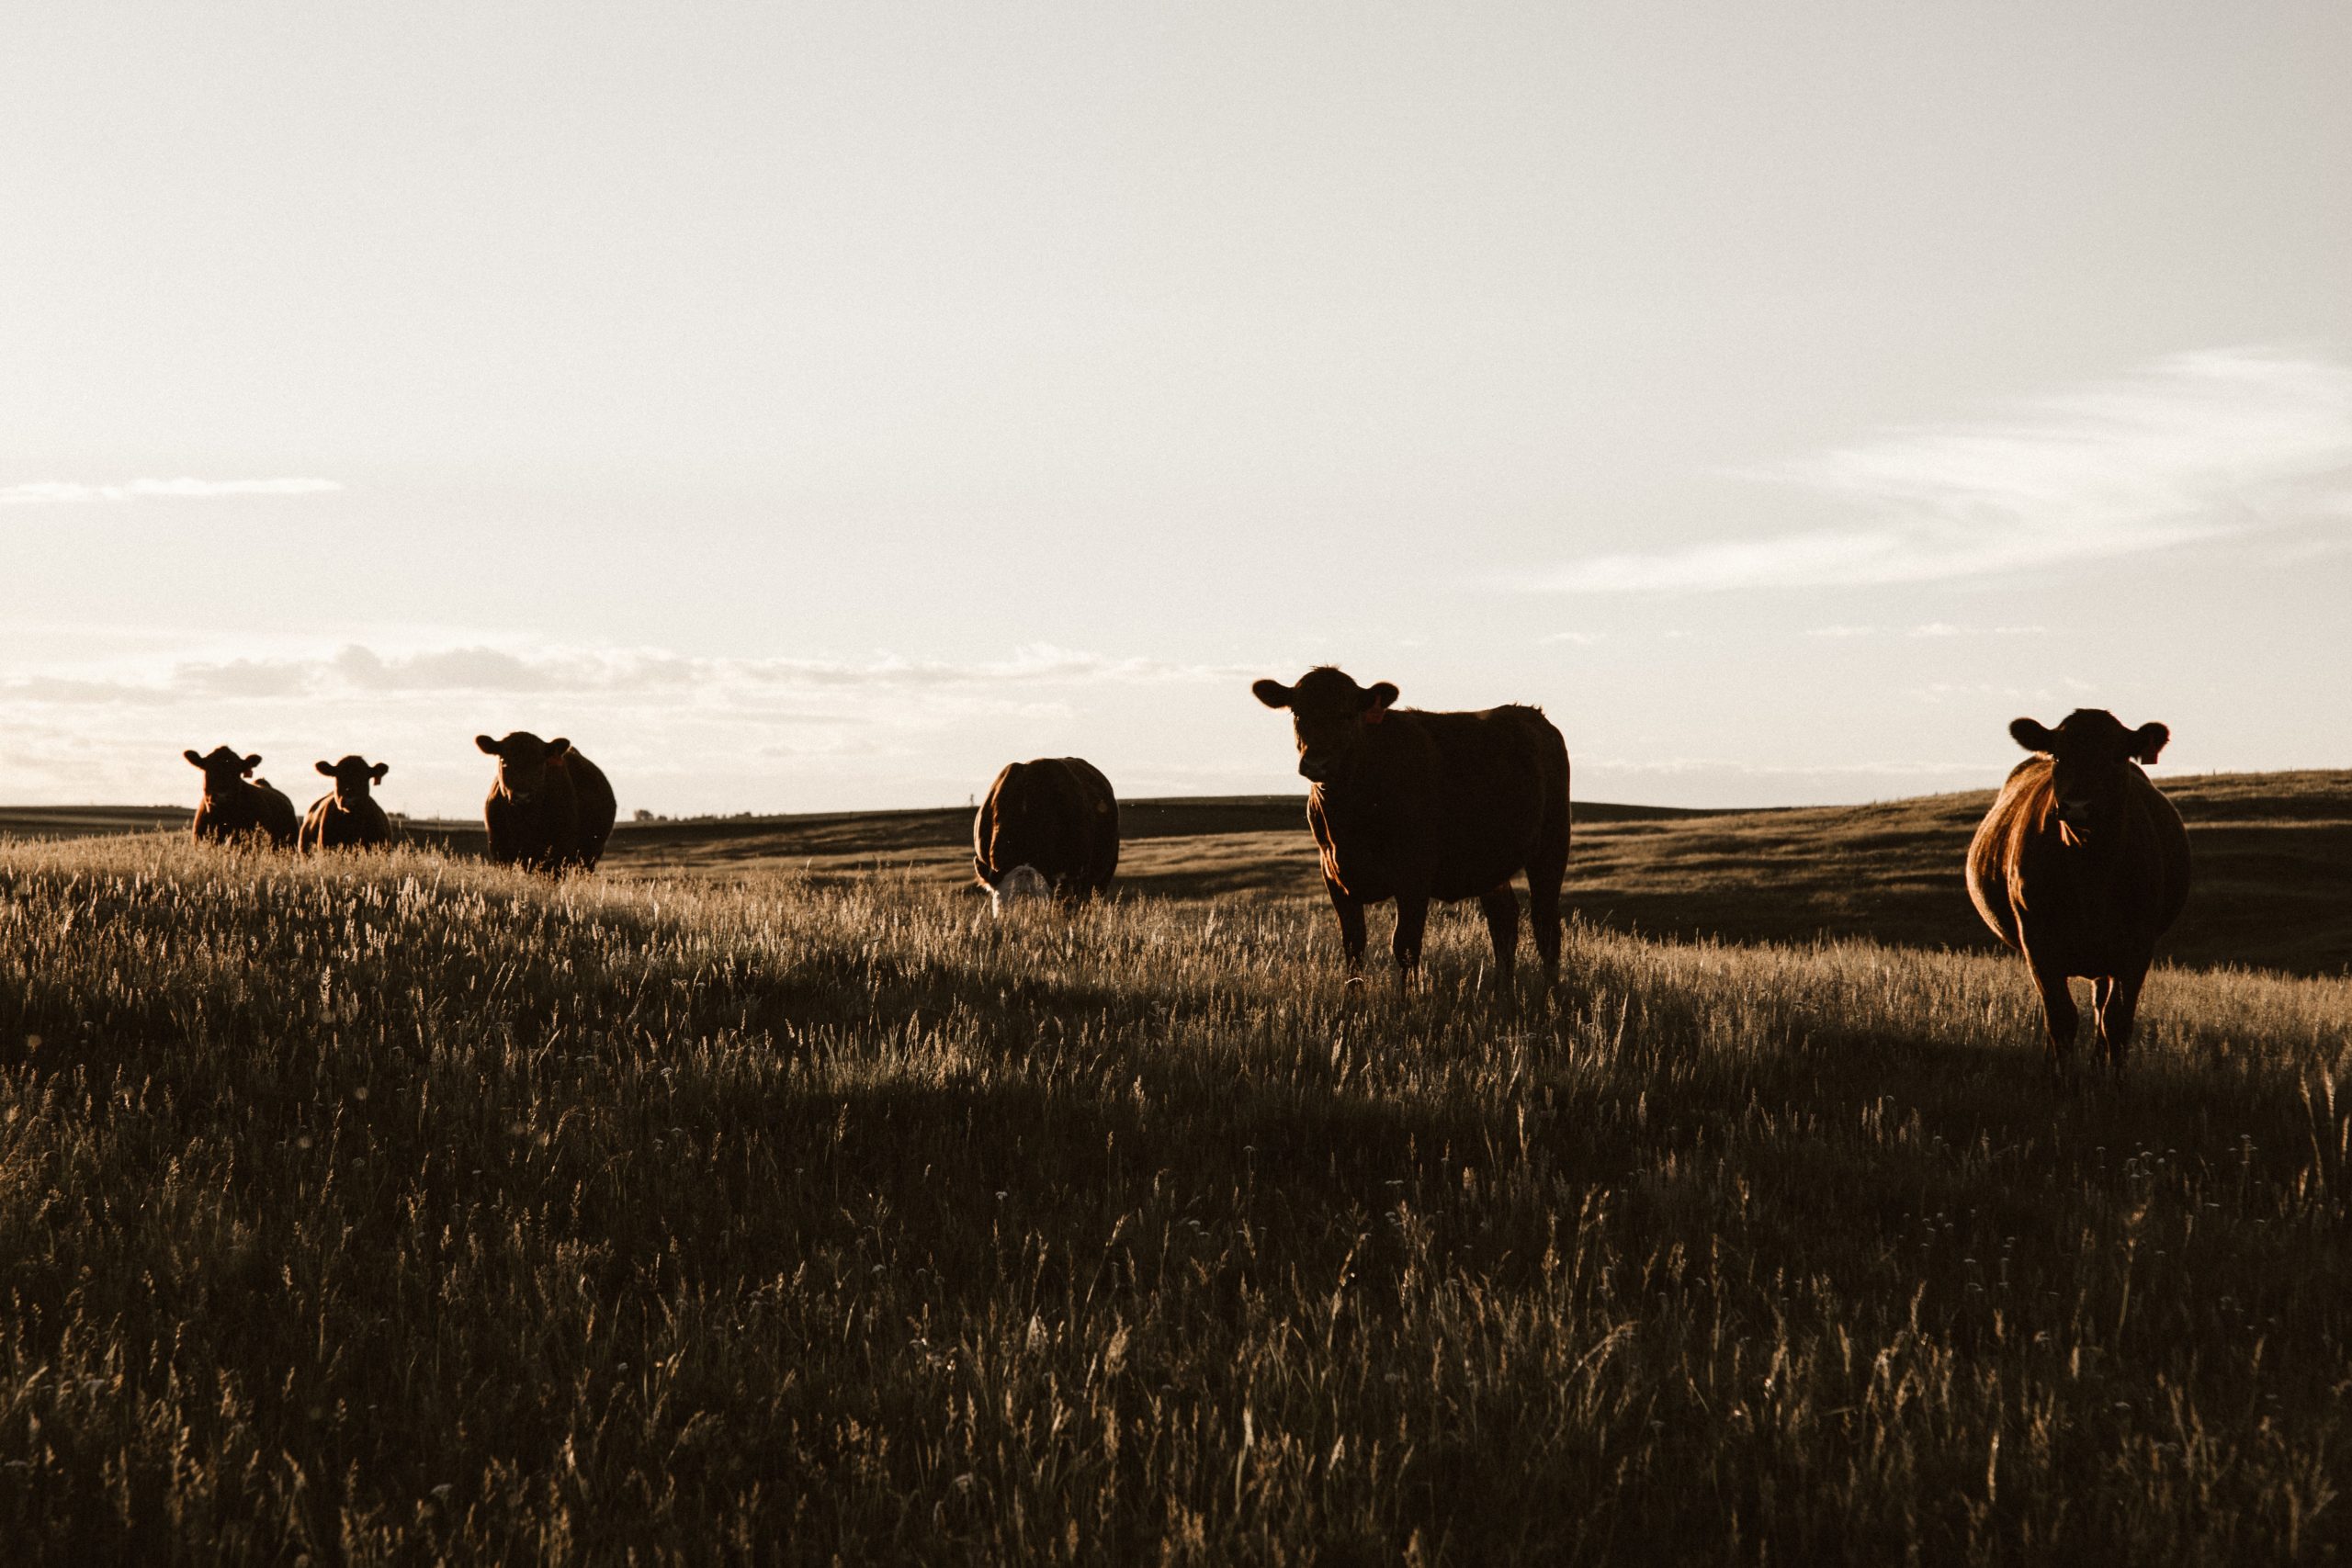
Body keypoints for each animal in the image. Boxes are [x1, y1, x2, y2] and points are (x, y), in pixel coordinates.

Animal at [475, 733, 620, 879]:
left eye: (540, 763)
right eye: (504, 762)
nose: (522, 796)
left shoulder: (558, 853)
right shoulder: (500, 851)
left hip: (590, 856)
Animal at [1250, 667, 1561, 991]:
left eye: (1347, 714)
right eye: (1298, 713)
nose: (1316, 764)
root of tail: (1530, 714)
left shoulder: (1414, 874)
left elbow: (1405, 946)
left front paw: (1408, 1000)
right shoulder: (1333, 876)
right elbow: (1353, 947)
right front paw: (1353, 1001)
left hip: (1551, 845)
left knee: (1545, 923)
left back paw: (1551, 991)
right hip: (1489, 864)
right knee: (1504, 920)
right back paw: (1503, 990)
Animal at [1956, 709, 2191, 1081]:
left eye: (2117, 756)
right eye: (2058, 755)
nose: (2078, 806)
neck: (2090, 871)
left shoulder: (2138, 944)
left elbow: (2117, 1021)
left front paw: (2115, 1082)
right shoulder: (2037, 940)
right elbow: (2061, 1018)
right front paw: (2061, 1081)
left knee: (2101, 1008)